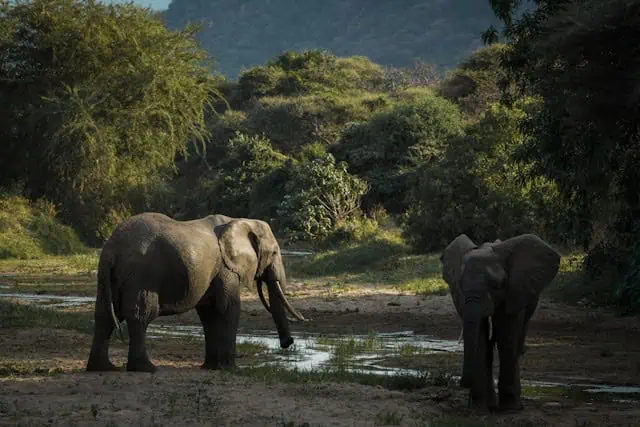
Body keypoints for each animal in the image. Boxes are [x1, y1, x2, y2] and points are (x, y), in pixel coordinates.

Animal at [86, 212, 306, 372]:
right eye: (275, 252)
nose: (288, 342)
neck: (242, 221)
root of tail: (111, 249)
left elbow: (209, 314)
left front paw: (211, 368)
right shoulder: (225, 268)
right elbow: (228, 309)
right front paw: (230, 369)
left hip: (110, 277)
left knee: (104, 315)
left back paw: (103, 368)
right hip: (141, 275)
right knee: (141, 315)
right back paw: (146, 369)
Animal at [440, 234, 560, 412]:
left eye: (496, 285)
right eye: (460, 285)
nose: (462, 383)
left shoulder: (515, 290)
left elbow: (506, 337)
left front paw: (508, 409)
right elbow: (481, 341)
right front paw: (478, 408)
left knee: (516, 344)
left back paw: (514, 404)